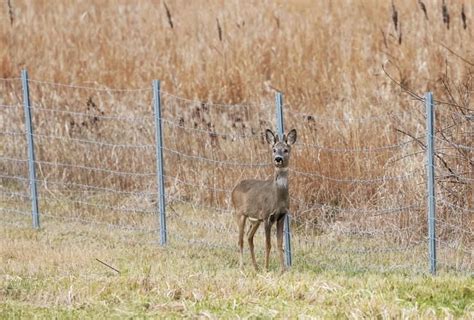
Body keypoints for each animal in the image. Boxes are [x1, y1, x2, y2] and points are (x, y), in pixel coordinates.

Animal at [231, 128, 296, 272]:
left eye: (286, 150)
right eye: (274, 149)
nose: (278, 159)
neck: (277, 197)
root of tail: (234, 188)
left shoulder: (281, 216)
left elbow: (279, 244)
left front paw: (283, 270)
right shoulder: (267, 216)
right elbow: (268, 244)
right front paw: (267, 268)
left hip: (255, 219)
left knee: (249, 236)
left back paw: (255, 267)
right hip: (240, 213)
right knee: (240, 240)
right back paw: (242, 267)